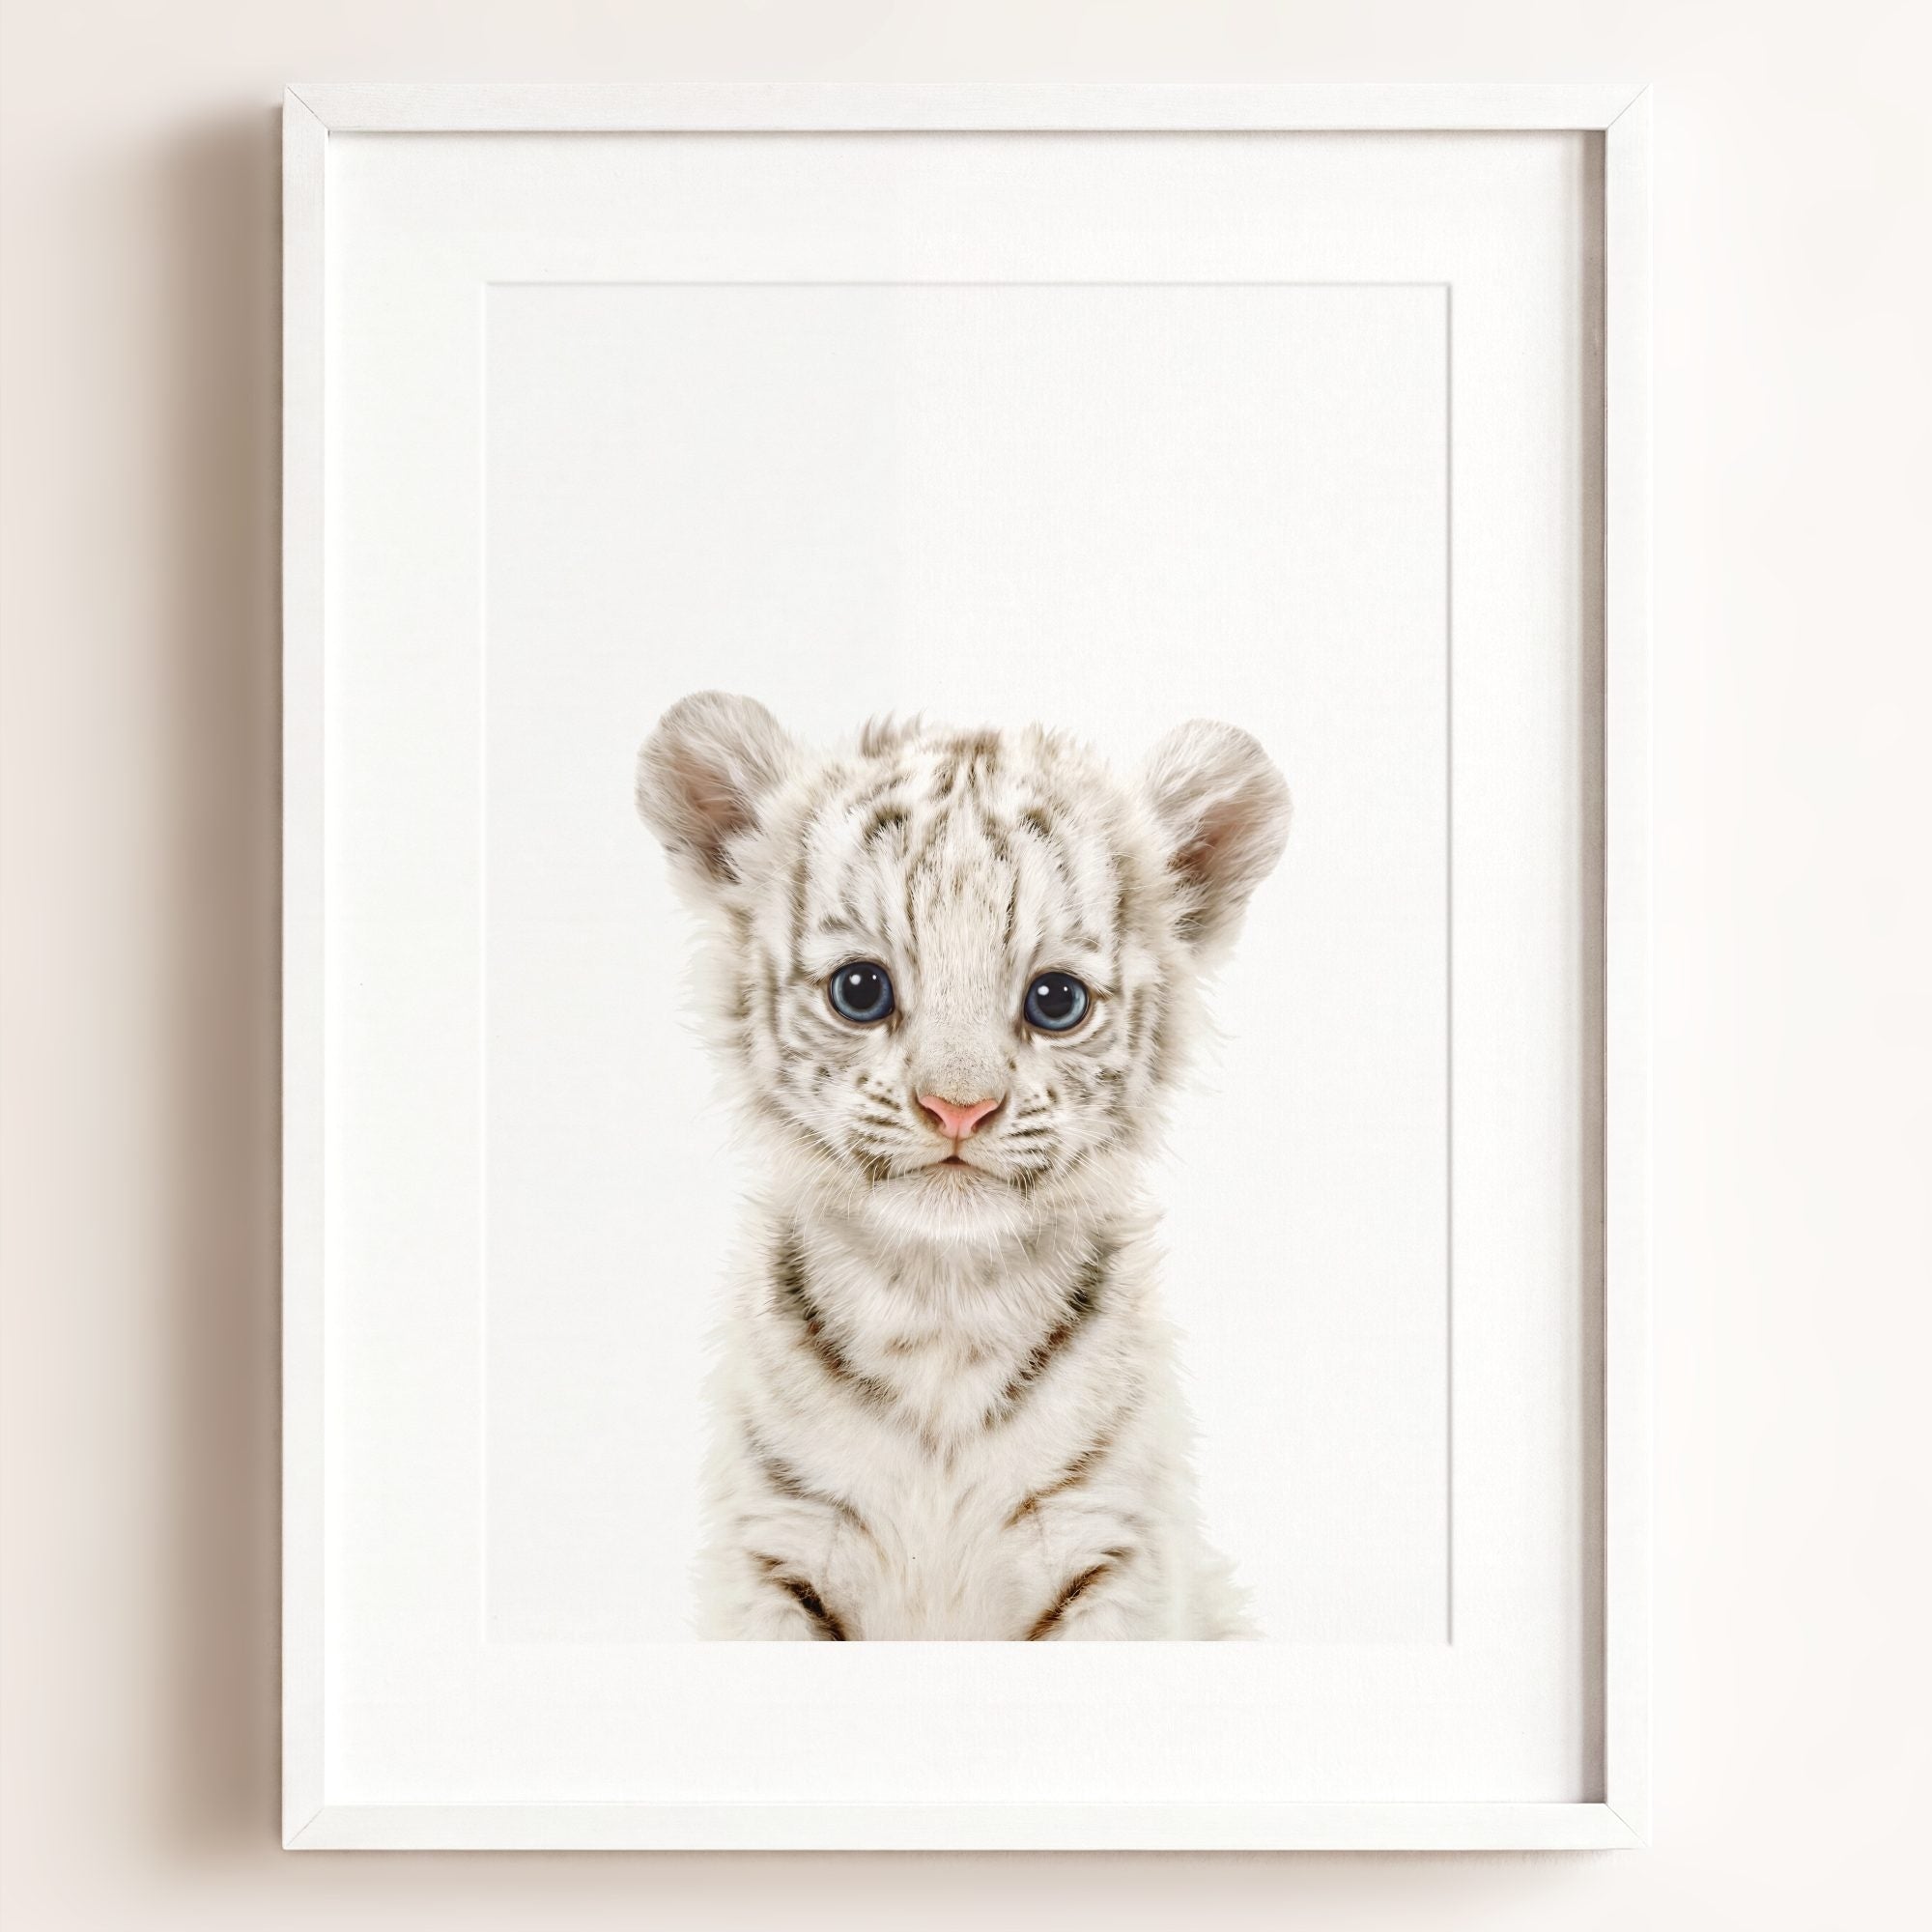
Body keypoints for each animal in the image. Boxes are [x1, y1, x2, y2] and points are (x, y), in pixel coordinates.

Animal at [634, 692, 1290, 1638]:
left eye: (1056, 1001)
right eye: (860, 990)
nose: (958, 1108)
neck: (941, 1305)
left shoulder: (1109, 1549)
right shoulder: (777, 1548)